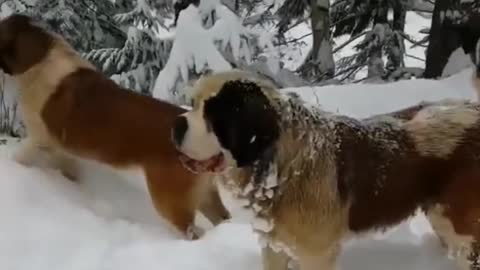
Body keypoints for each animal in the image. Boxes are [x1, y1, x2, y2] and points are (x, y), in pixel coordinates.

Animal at [0, 13, 231, 239]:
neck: (40, 59)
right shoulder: (61, 151)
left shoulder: (39, 138)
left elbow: (20, 157)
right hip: (205, 195)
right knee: (223, 218)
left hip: (169, 200)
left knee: (192, 231)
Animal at [173, 70, 480, 270]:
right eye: (193, 104)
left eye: (214, 114)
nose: (176, 125)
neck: (283, 164)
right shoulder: (274, 246)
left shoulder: (316, 255)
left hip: (459, 226)